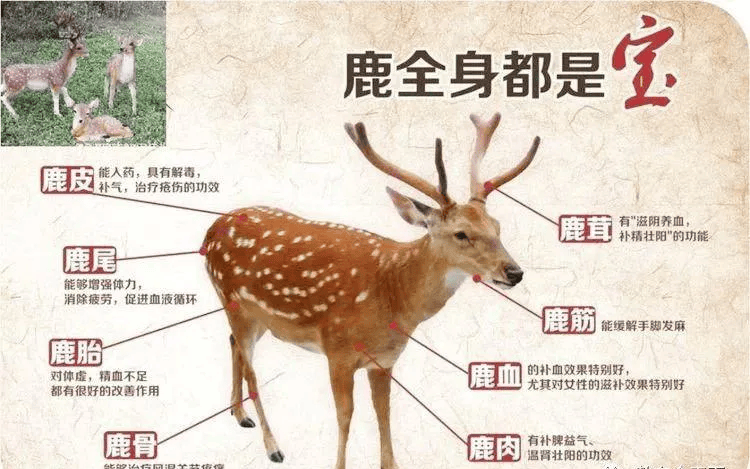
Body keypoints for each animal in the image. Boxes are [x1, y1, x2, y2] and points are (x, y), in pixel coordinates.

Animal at [202, 113, 539, 469]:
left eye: (498, 226)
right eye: (461, 233)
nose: (514, 272)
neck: (391, 291)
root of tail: (210, 230)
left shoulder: (385, 360)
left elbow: (383, 413)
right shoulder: (337, 349)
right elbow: (345, 416)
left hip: (260, 318)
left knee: (232, 343)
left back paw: (240, 415)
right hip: (231, 299)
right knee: (252, 370)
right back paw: (273, 446)